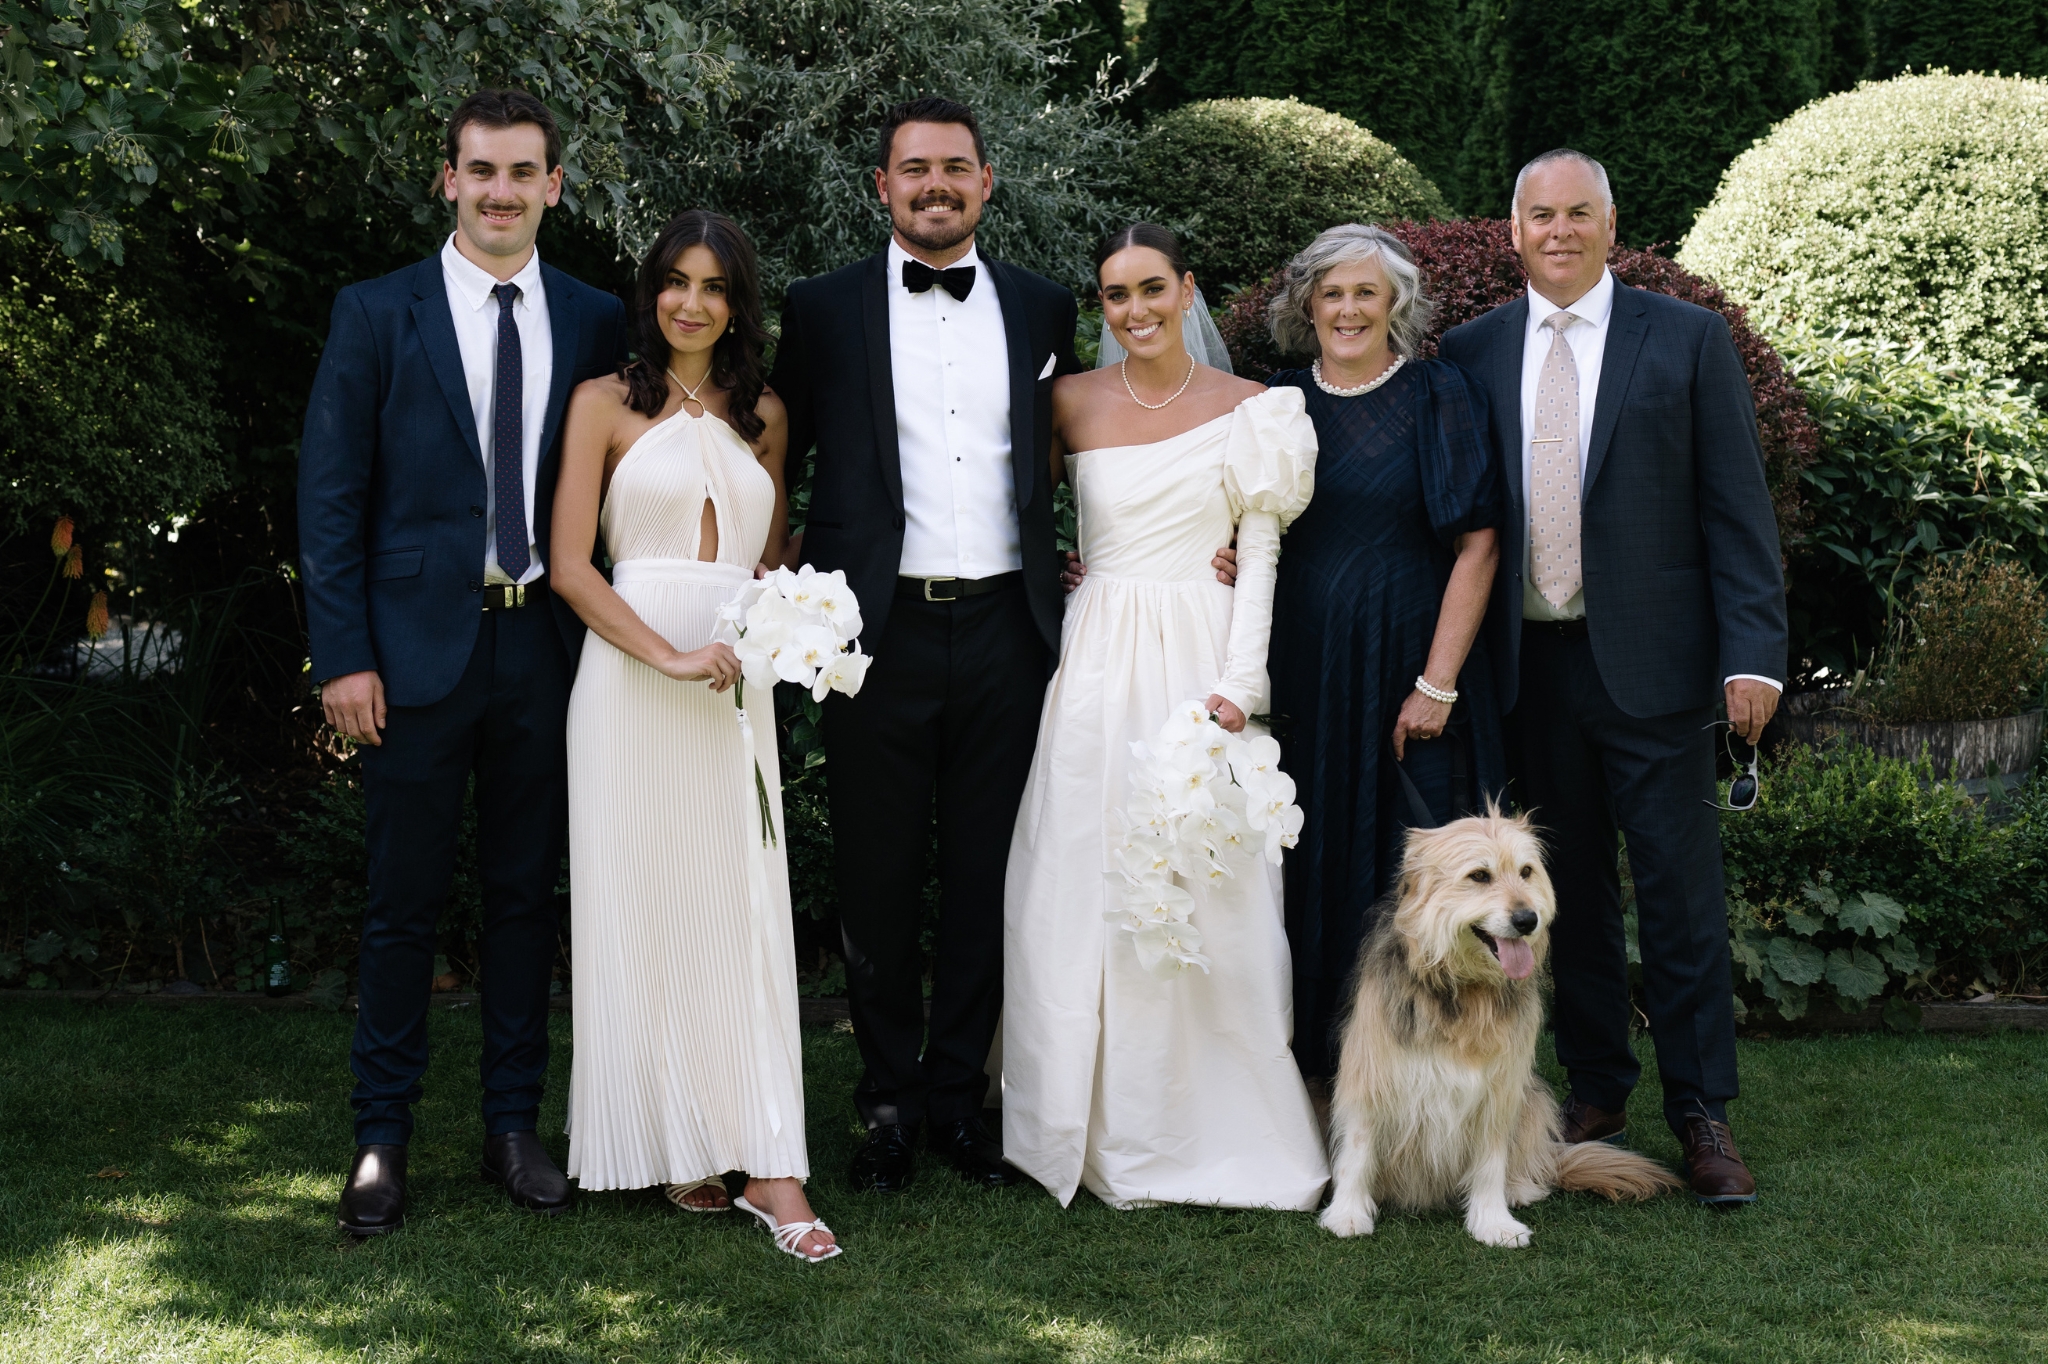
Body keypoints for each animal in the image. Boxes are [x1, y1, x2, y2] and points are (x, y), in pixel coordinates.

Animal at [1327, 806, 1679, 1245]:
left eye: (1527, 871)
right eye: (1479, 875)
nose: (1528, 919)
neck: (1466, 988)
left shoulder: (1500, 1089)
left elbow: (1492, 1160)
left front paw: (1493, 1220)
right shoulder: (1370, 1071)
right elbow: (1358, 1148)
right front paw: (1348, 1212)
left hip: (1533, 1100)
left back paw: (1520, 1187)